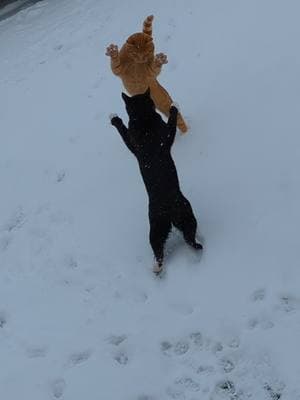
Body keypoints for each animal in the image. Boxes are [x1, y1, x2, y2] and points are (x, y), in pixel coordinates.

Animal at [109, 88, 203, 272]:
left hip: (164, 226)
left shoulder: (133, 145)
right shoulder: (165, 137)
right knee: (186, 241)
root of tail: (168, 212)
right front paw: (174, 106)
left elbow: (125, 133)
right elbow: (171, 123)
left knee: (165, 247)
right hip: (183, 213)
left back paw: (157, 268)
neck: (143, 117)